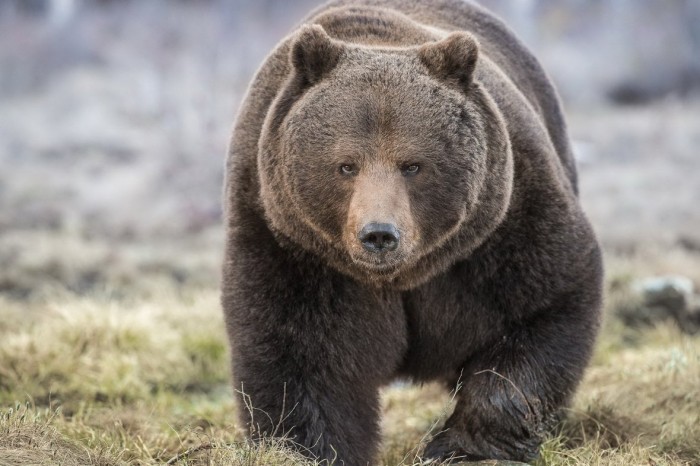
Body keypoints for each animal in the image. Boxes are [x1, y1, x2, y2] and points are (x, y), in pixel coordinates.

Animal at [223, 1, 600, 464]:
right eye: (346, 165)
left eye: (413, 165)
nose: (379, 234)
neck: (400, 276)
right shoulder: (288, 238)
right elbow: (299, 352)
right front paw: (310, 447)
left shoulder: (503, 221)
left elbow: (544, 303)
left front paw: (462, 447)